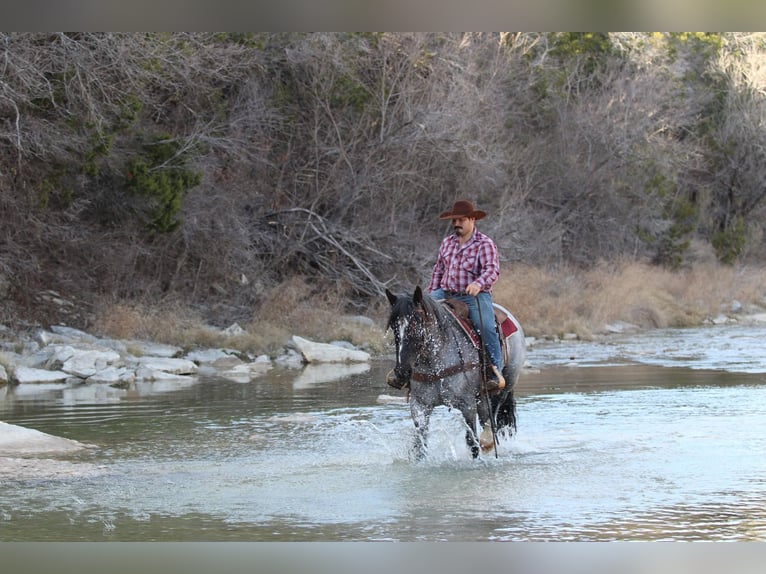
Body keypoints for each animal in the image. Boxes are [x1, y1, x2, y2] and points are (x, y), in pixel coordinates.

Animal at [385, 286, 526, 459]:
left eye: (416, 324)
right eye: (393, 327)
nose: (401, 372)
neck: (436, 363)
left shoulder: (467, 404)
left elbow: (472, 442)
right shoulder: (419, 405)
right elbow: (420, 443)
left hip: (504, 387)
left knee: (491, 420)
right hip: (481, 397)